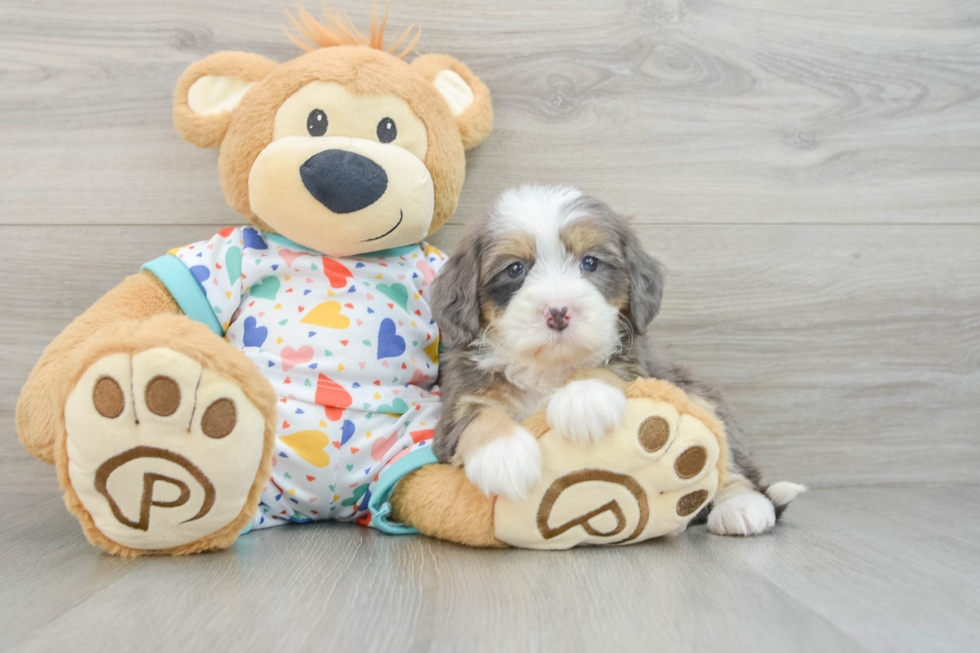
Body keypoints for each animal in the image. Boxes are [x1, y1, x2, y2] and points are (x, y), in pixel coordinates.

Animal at [430, 183, 804, 536]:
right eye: (515, 269)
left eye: (590, 262)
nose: (558, 311)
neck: (549, 369)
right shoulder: (456, 404)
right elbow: (479, 417)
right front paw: (504, 457)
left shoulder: (637, 366)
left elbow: (605, 371)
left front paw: (584, 399)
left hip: (699, 394)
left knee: (730, 460)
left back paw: (741, 505)